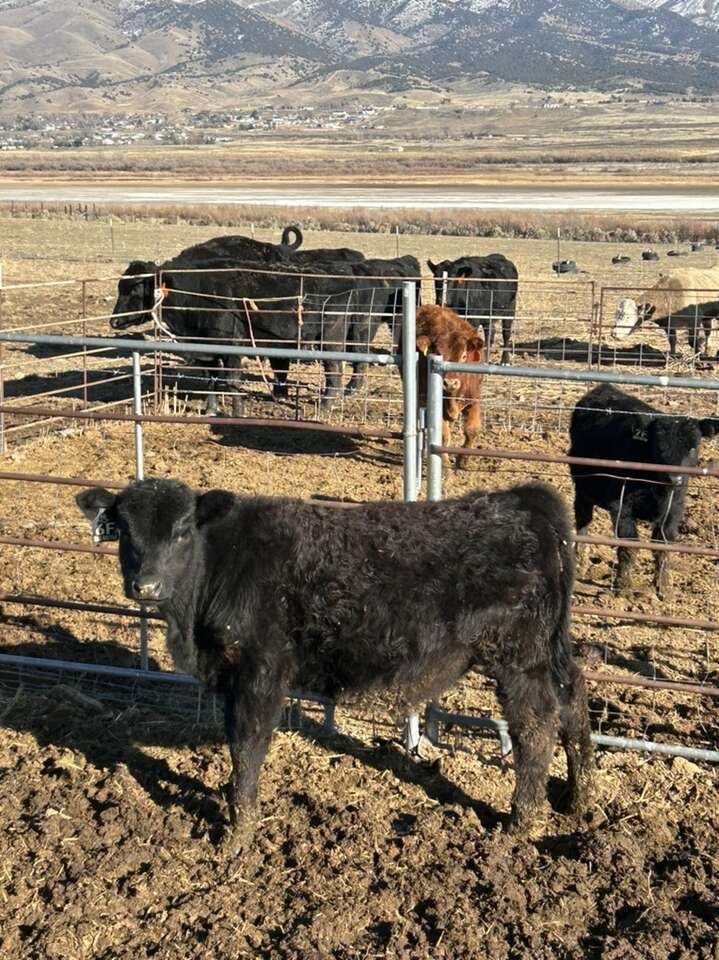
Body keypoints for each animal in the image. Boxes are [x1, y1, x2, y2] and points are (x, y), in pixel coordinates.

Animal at [76, 477, 594, 846]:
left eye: (183, 530)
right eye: (124, 531)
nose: (146, 586)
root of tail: (523, 498)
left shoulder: (262, 669)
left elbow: (246, 745)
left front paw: (238, 833)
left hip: (519, 658)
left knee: (537, 726)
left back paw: (520, 823)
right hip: (550, 650)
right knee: (574, 699)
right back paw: (578, 800)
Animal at [110, 257, 387, 411]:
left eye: (134, 289)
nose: (113, 321)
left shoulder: (233, 348)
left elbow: (232, 381)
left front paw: (237, 412)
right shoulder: (207, 351)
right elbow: (212, 381)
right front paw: (211, 410)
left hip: (333, 336)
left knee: (336, 369)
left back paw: (328, 402)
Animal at [415, 305, 485, 470]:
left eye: (464, 356)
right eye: (438, 354)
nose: (450, 383)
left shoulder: (475, 398)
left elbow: (472, 430)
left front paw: (463, 461)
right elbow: (442, 436)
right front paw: (445, 467)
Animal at [568, 384, 717, 598]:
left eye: (692, 447)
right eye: (659, 447)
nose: (675, 478)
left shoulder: (674, 509)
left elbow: (663, 546)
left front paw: (664, 588)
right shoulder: (621, 506)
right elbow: (629, 546)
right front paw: (623, 587)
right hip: (582, 490)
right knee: (583, 524)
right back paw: (579, 562)